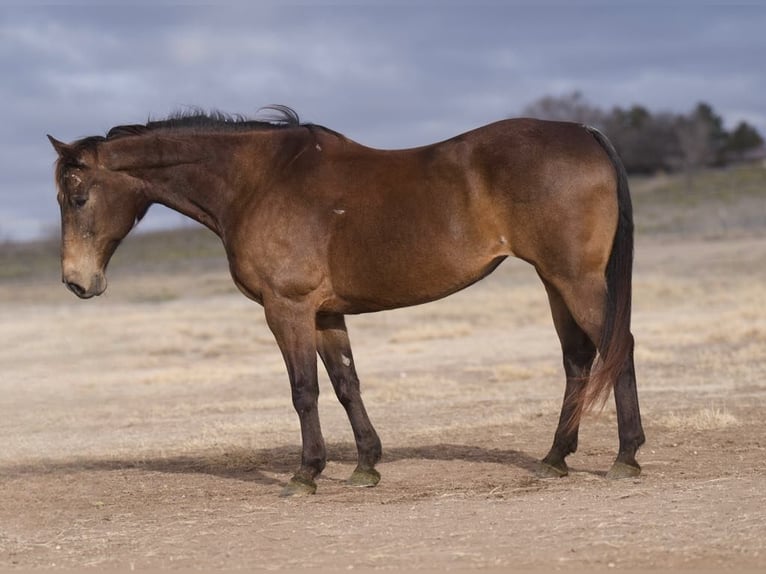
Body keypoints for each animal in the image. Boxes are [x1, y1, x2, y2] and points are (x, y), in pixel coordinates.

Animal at [48, 106, 645, 496]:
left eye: (76, 198)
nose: (77, 282)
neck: (258, 182)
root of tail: (585, 132)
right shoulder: (326, 313)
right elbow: (345, 384)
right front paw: (365, 466)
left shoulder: (286, 309)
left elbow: (304, 390)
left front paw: (306, 473)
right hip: (554, 281)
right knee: (578, 361)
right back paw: (555, 458)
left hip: (575, 280)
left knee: (620, 348)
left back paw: (626, 456)